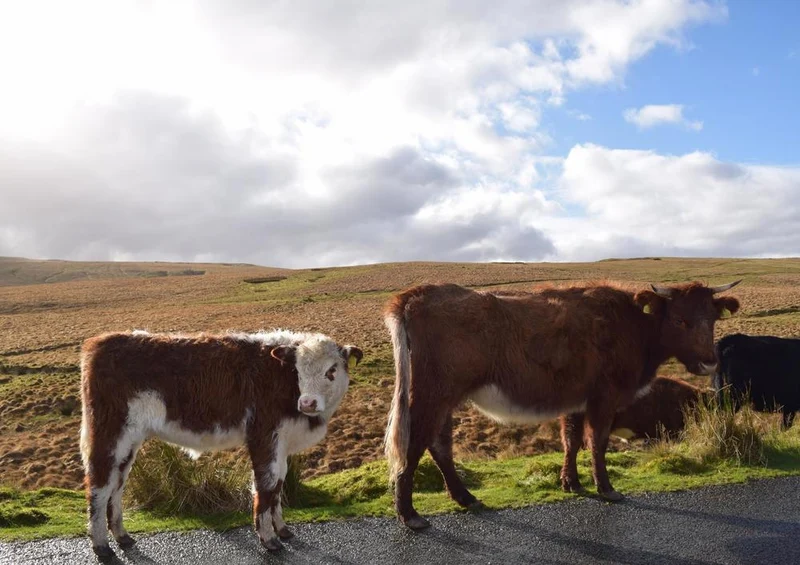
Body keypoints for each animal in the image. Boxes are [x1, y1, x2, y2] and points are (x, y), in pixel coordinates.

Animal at [80, 329, 362, 559]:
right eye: (297, 371)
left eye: (331, 371)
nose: (307, 403)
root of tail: (100, 342)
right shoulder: (263, 437)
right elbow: (266, 486)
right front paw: (269, 539)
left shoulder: (281, 444)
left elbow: (279, 485)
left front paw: (282, 529)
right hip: (109, 434)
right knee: (99, 486)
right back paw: (101, 546)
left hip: (129, 441)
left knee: (117, 484)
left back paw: (122, 536)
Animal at [384, 280, 740, 529]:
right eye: (680, 320)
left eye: (712, 318)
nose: (709, 362)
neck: (631, 324)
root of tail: (417, 294)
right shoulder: (604, 397)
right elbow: (597, 441)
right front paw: (606, 488)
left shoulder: (577, 399)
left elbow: (572, 439)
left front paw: (571, 482)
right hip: (432, 395)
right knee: (415, 445)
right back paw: (410, 515)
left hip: (444, 399)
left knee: (439, 445)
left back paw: (466, 498)